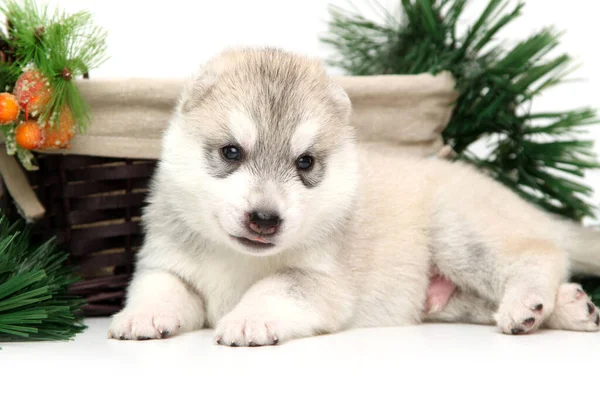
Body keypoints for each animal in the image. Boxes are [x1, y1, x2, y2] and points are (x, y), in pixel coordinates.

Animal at [109, 48, 600, 346]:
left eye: (305, 163)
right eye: (231, 152)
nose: (265, 219)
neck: (238, 259)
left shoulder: (317, 280)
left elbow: (274, 286)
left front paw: (249, 318)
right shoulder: (164, 262)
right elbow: (161, 286)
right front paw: (141, 317)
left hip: (461, 234)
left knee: (540, 255)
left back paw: (526, 305)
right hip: (446, 294)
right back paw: (574, 309)